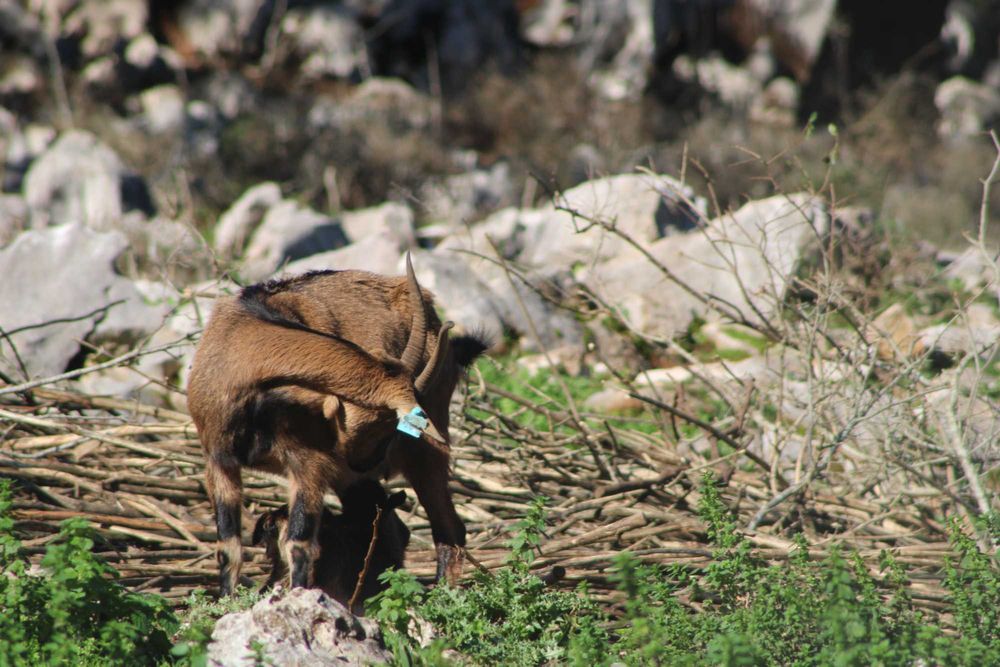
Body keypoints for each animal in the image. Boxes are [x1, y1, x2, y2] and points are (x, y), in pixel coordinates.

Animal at [187, 255, 488, 595]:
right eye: (380, 426)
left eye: (390, 426)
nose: (367, 463)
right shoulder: (219, 461)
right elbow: (229, 548)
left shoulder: (310, 464)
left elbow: (299, 543)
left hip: (424, 453)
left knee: (449, 528)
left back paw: (440, 596)